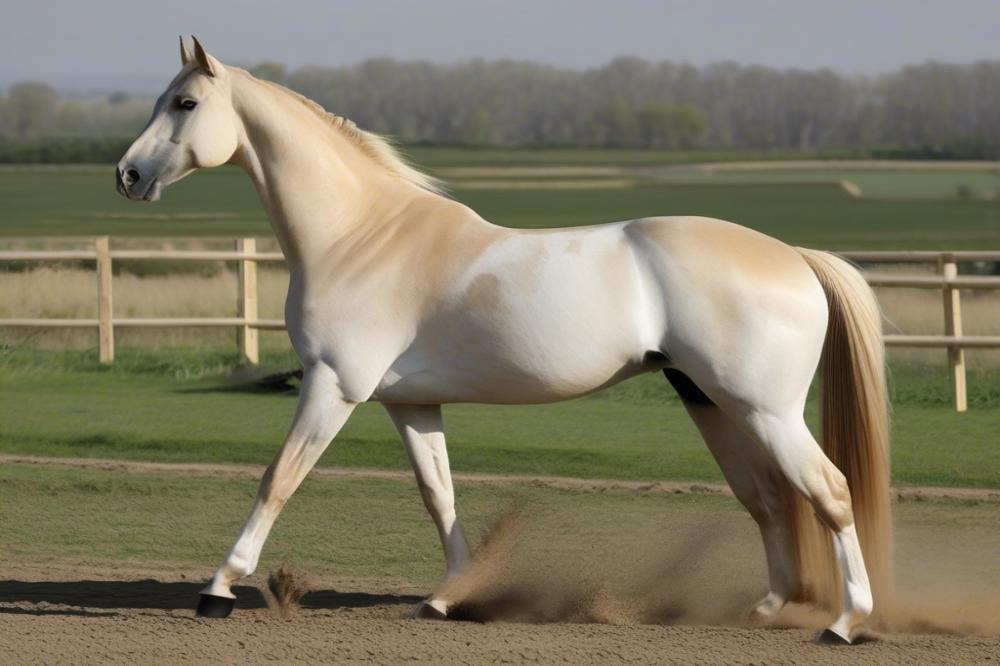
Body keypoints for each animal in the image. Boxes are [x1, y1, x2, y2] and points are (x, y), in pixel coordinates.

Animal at [115, 37, 892, 644]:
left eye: (185, 104)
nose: (127, 174)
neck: (361, 236)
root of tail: (795, 258)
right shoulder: (409, 404)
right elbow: (440, 495)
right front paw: (449, 597)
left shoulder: (333, 385)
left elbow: (278, 478)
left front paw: (217, 588)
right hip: (714, 403)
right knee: (769, 500)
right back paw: (765, 610)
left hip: (765, 410)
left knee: (829, 492)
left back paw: (844, 623)